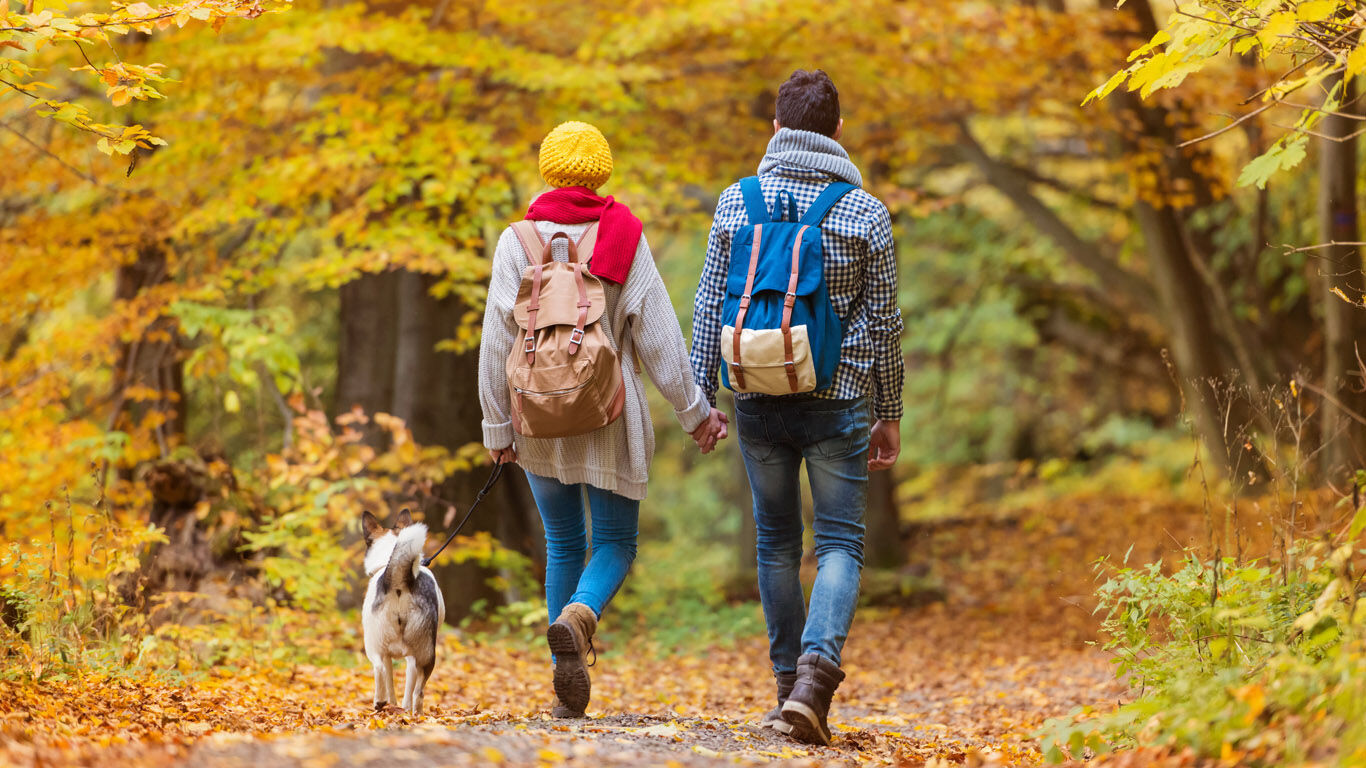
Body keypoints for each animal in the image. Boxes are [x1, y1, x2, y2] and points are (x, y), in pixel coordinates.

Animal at [360, 508, 445, 710]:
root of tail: (399, 580)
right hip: (425, 653)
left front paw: (391, 703)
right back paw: (413, 712)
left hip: (374, 644)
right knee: (418, 692)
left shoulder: (389, 654)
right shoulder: (411, 658)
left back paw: (380, 702)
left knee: (379, 668)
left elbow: (390, 680)